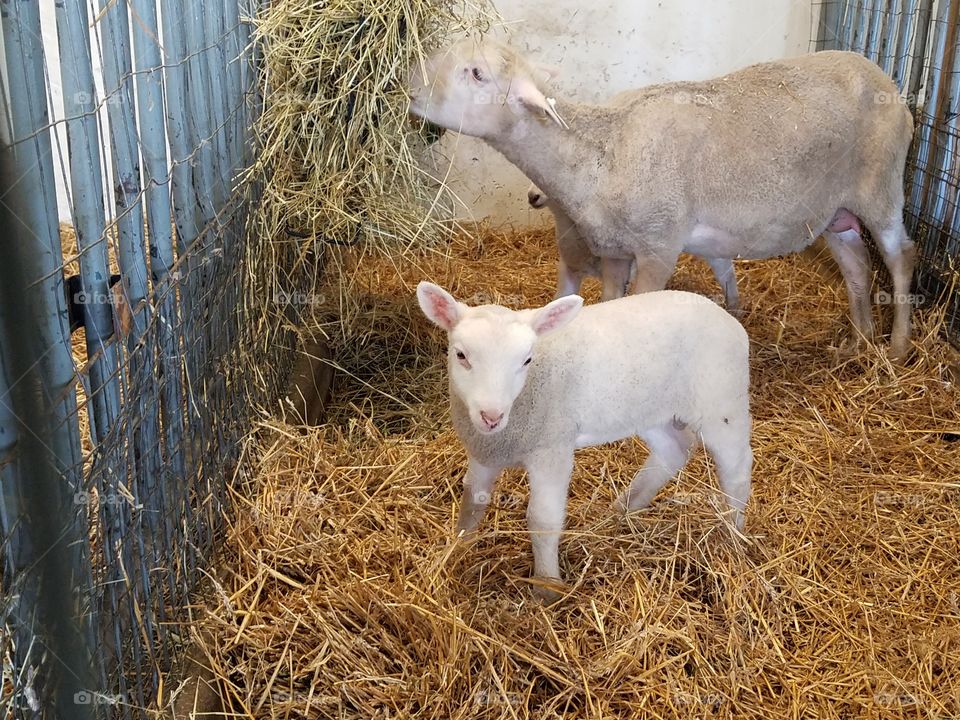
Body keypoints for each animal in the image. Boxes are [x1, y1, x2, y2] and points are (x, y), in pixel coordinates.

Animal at [408, 40, 917, 359]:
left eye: (476, 73)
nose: (410, 91)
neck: (601, 150)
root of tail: (883, 78)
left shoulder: (658, 246)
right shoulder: (614, 250)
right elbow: (609, 304)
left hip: (881, 186)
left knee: (899, 258)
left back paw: (896, 347)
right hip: (834, 211)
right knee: (856, 265)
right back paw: (858, 342)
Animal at [416, 281, 753, 602]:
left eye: (527, 360)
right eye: (461, 355)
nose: (491, 416)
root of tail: (722, 315)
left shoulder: (552, 448)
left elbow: (543, 519)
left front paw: (547, 587)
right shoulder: (484, 452)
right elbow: (471, 502)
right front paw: (456, 550)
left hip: (723, 403)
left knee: (737, 468)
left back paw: (732, 536)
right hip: (647, 410)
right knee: (674, 450)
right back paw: (625, 508)